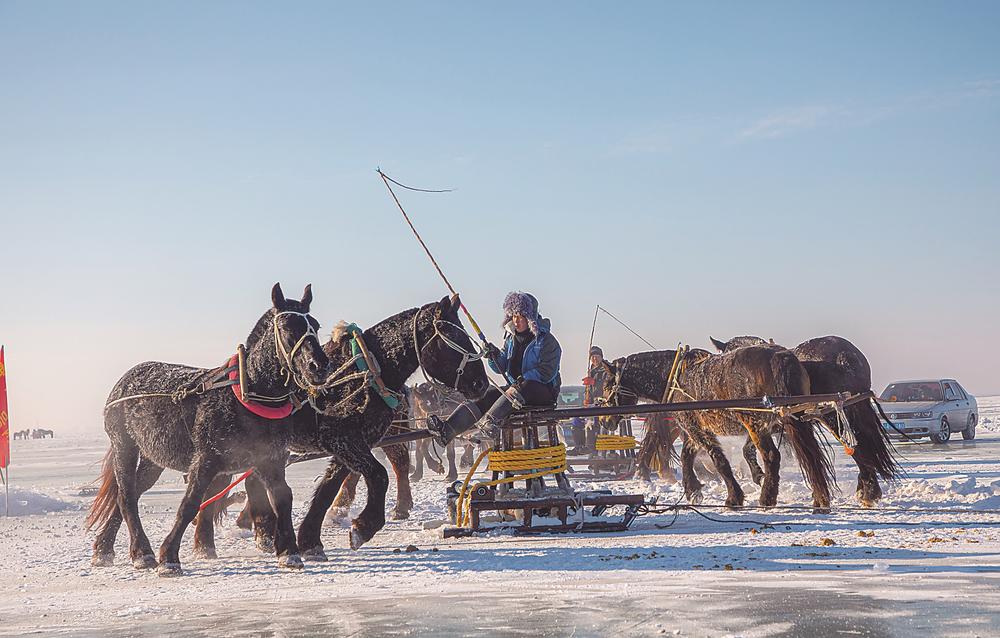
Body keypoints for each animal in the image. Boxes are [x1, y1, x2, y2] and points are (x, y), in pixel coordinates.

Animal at [86, 282, 328, 576]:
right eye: (286, 327)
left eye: (314, 325)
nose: (319, 366)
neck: (246, 397)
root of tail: (123, 383)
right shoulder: (205, 460)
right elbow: (190, 504)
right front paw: (169, 557)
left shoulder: (269, 460)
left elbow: (282, 499)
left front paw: (289, 552)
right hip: (125, 447)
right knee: (127, 497)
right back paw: (142, 553)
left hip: (153, 459)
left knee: (129, 494)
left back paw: (104, 548)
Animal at [600, 348, 836, 512]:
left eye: (606, 385)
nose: (604, 420)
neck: (675, 377)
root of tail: (779, 357)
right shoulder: (696, 427)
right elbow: (689, 455)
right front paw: (693, 490)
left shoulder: (696, 427)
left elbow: (719, 460)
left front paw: (734, 497)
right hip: (790, 418)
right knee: (810, 456)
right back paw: (819, 498)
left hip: (755, 422)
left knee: (772, 456)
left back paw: (767, 498)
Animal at [708, 336, 904, 510]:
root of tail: (843, 356)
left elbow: (749, 450)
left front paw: (759, 476)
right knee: (861, 445)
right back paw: (867, 490)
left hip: (832, 416)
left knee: (857, 449)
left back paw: (866, 493)